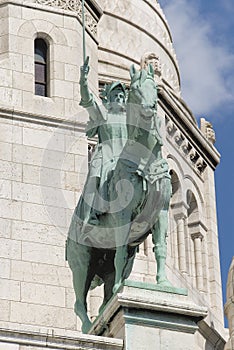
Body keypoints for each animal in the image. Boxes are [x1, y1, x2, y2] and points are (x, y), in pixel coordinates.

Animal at [66, 63, 172, 334]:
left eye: (156, 89)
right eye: (134, 88)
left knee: (107, 288)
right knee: (79, 302)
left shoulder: (161, 214)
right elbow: (121, 251)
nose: (150, 109)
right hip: (81, 260)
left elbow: (160, 248)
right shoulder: (121, 218)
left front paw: (163, 284)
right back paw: (88, 326)